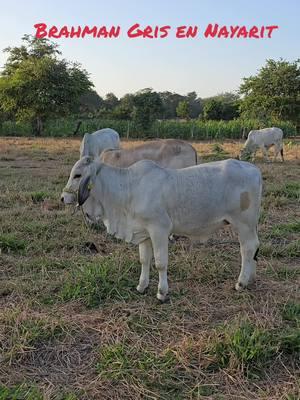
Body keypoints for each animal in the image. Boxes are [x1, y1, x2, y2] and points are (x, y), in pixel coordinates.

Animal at [61, 158, 262, 302]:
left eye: (77, 175)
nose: (63, 198)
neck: (129, 189)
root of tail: (254, 169)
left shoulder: (159, 230)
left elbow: (160, 263)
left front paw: (162, 293)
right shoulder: (143, 233)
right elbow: (144, 260)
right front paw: (142, 286)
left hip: (243, 223)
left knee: (247, 249)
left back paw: (241, 282)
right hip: (250, 225)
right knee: (255, 246)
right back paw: (251, 278)